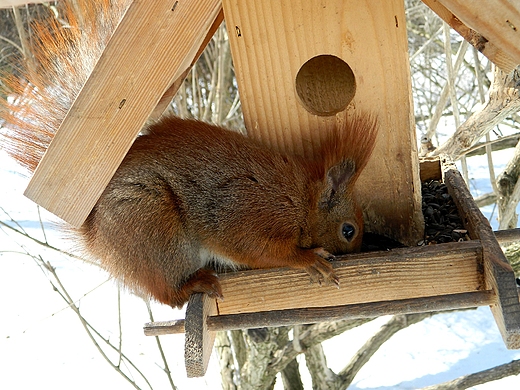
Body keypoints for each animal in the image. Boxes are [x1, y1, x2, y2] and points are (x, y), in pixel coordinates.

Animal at [0, 0, 376, 308]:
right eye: (348, 230)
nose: (358, 250)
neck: (299, 199)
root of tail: (94, 236)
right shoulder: (248, 211)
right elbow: (258, 249)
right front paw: (308, 260)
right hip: (155, 229)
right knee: (166, 295)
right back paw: (197, 283)